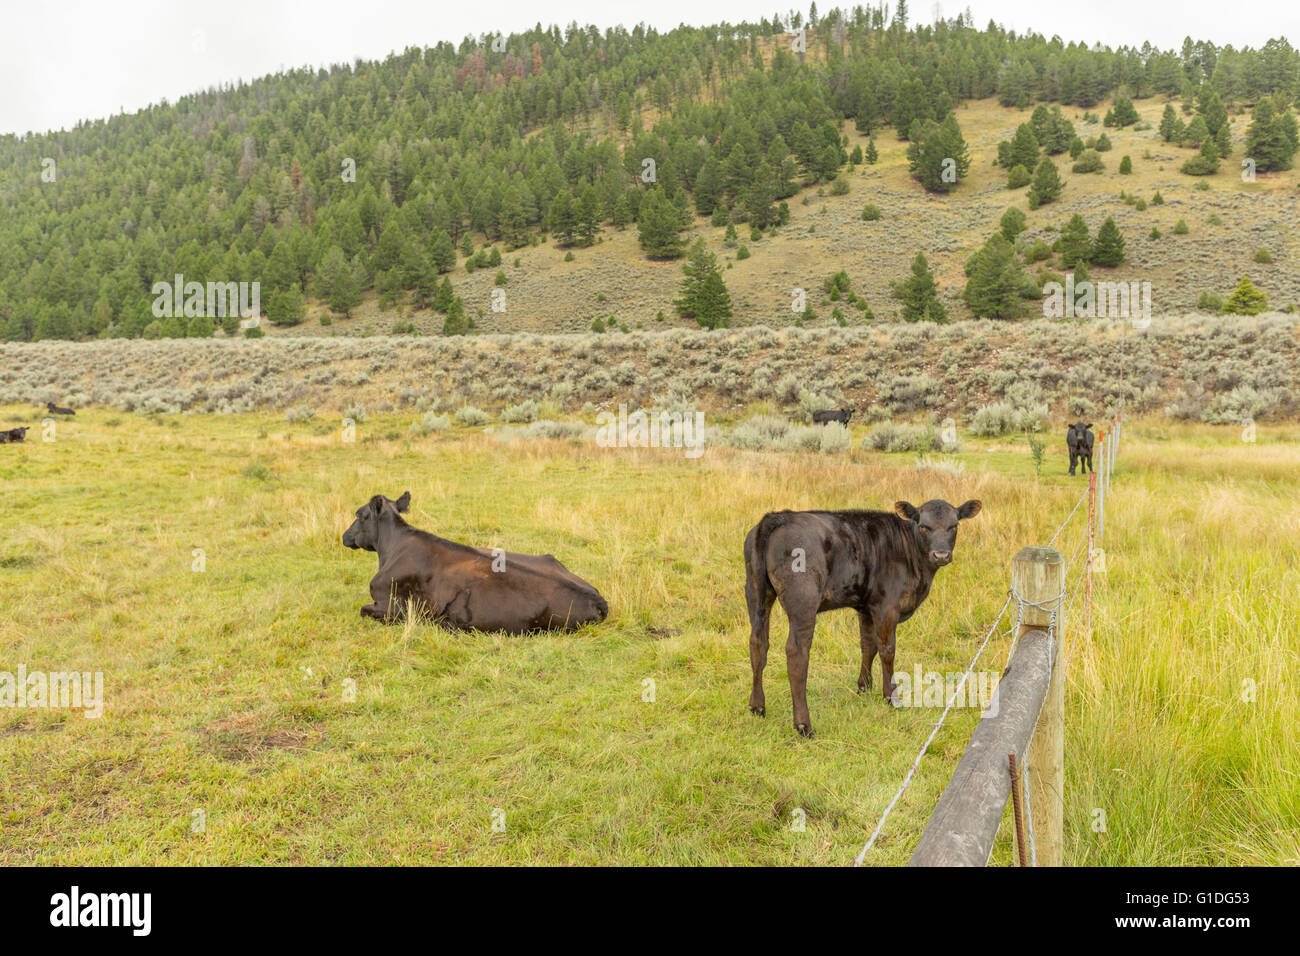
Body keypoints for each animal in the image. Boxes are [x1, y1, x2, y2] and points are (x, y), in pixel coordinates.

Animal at [342, 491, 608, 633]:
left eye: (358, 514)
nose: (344, 535)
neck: (392, 547)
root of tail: (599, 599)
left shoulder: (395, 607)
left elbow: (363, 609)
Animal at [744, 498, 982, 737]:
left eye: (954, 526)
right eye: (924, 526)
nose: (940, 555)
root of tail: (777, 517)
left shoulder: (866, 607)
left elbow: (868, 645)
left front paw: (864, 687)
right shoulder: (887, 607)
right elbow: (887, 651)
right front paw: (891, 697)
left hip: (756, 592)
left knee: (758, 644)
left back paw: (757, 707)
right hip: (803, 602)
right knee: (797, 655)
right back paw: (804, 725)